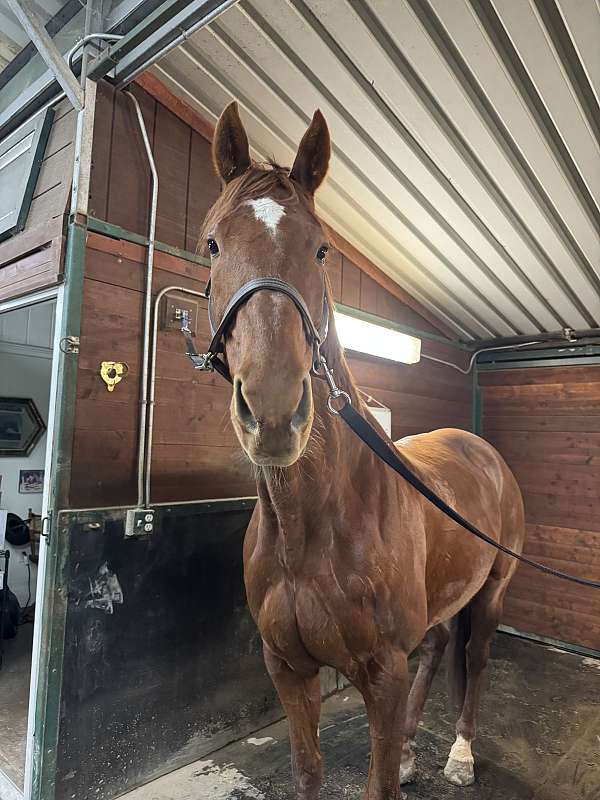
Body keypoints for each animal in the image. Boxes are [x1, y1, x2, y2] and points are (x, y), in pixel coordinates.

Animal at [201, 101, 525, 800]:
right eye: (212, 243)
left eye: (321, 249)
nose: (274, 411)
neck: (311, 526)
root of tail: (483, 452)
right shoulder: (288, 668)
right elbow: (307, 772)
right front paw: (395, 756)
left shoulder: (381, 672)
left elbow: (378, 784)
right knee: (437, 648)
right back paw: (411, 748)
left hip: (491, 594)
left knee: (477, 657)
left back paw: (459, 753)